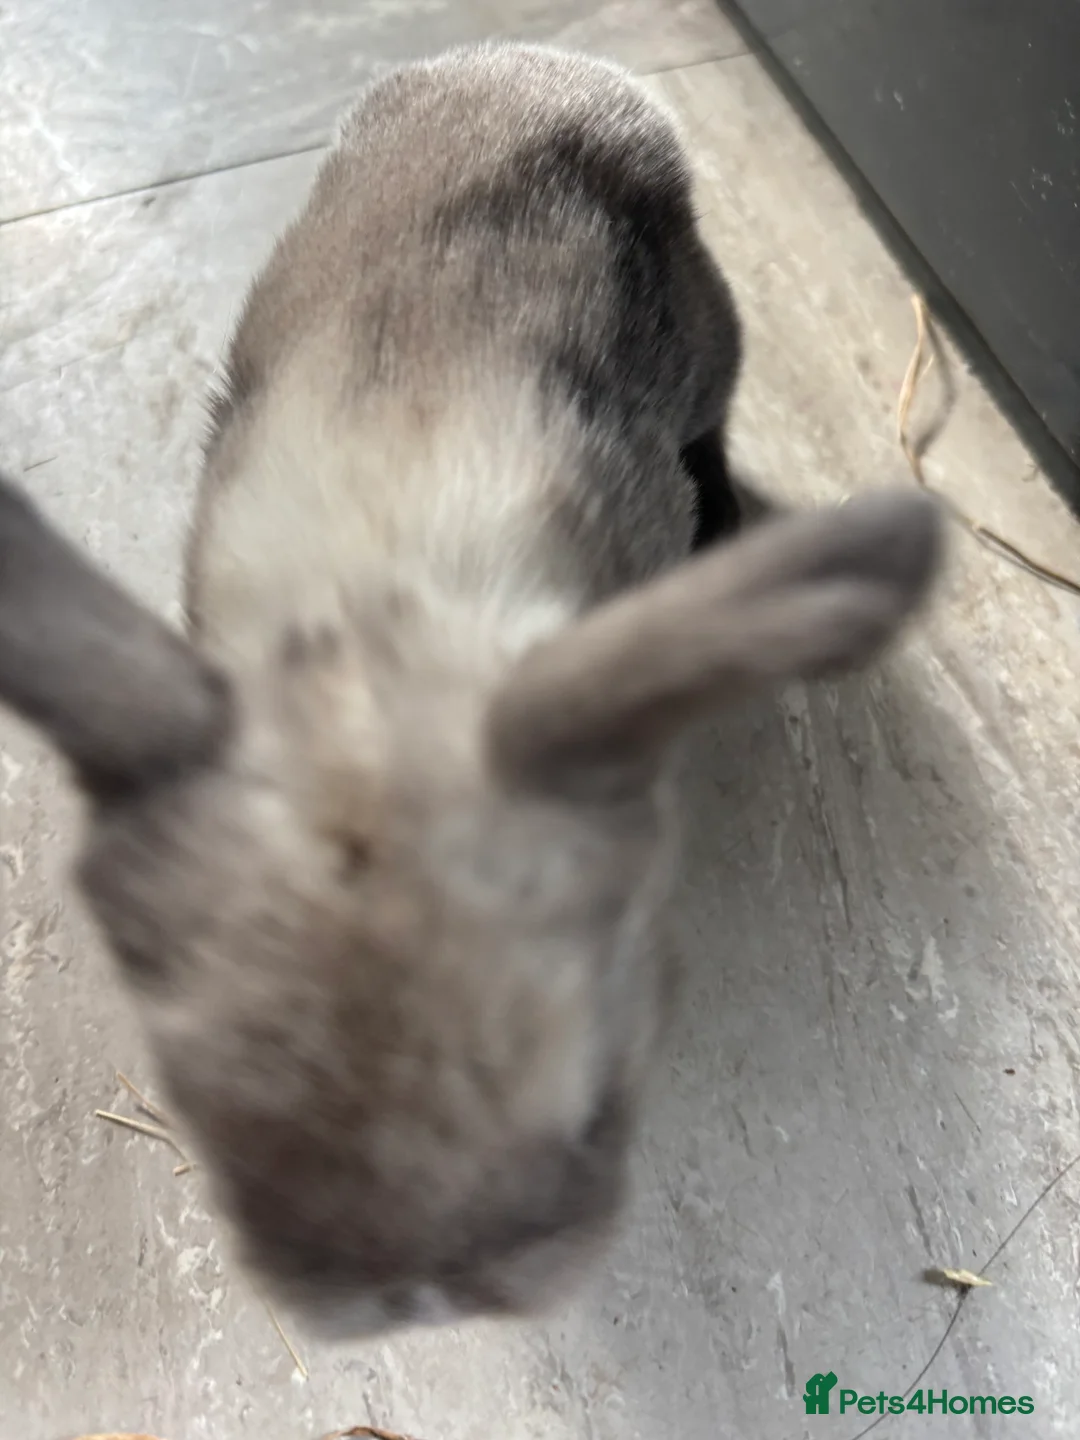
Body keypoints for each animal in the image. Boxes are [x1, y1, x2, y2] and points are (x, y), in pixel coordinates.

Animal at [0, 41, 942, 1340]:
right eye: (207, 1121)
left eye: (600, 1108)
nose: (428, 1294)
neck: (370, 627)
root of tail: (543, 66)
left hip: (712, 340)